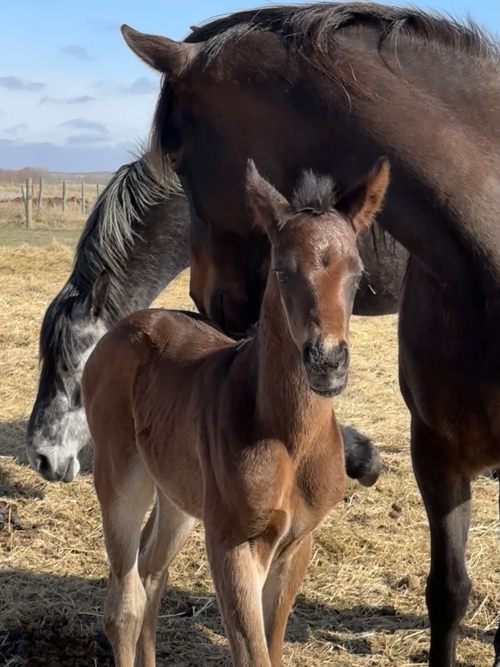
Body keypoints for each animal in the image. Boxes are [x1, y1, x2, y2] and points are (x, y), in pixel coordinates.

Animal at [82, 158, 390, 667]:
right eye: (282, 271)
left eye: (357, 271)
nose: (327, 362)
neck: (289, 438)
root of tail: (126, 326)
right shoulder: (232, 543)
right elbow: (253, 653)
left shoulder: (296, 543)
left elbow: (274, 646)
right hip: (120, 477)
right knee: (123, 603)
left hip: (180, 493)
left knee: (151, 574)